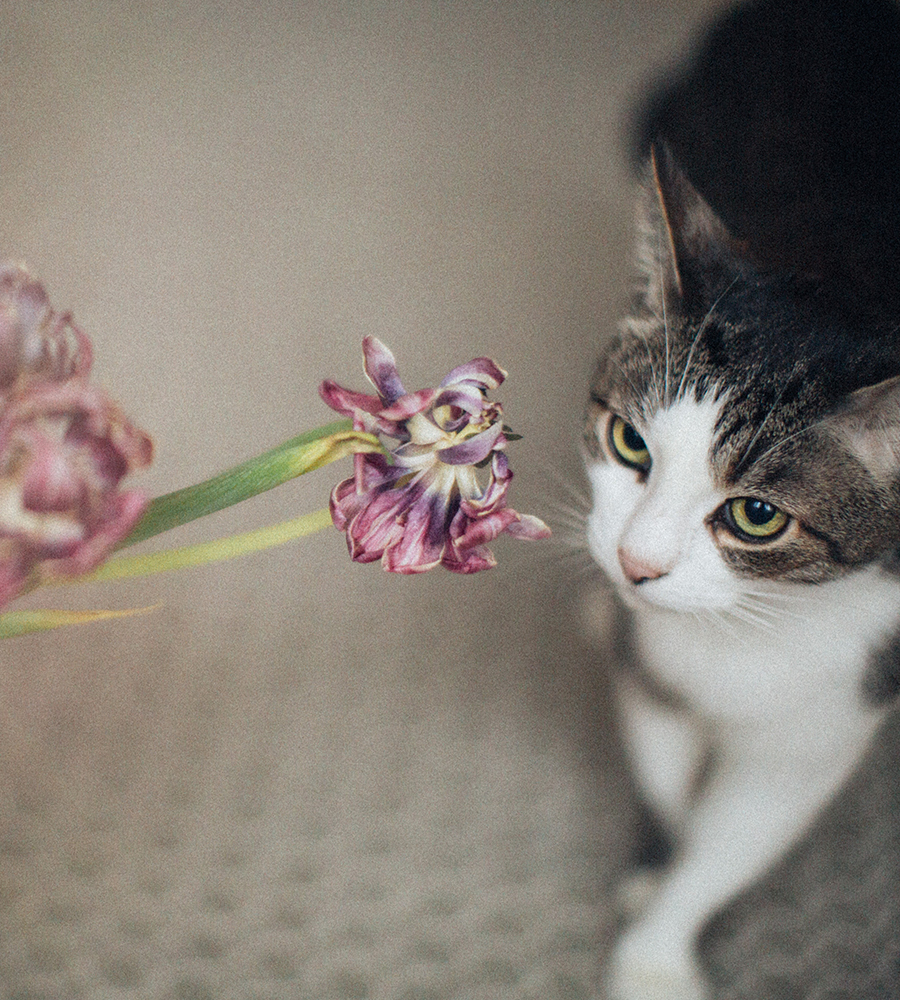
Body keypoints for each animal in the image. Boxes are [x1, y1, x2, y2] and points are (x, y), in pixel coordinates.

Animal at [584, 1, 900, 1000]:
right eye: (630, 443)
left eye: (757, 516)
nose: (635, 565)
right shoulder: (650, 663)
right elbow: (665, 771)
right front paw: (653, 868)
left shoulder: (837, 700)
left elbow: (740, 835)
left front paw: (657, 950)